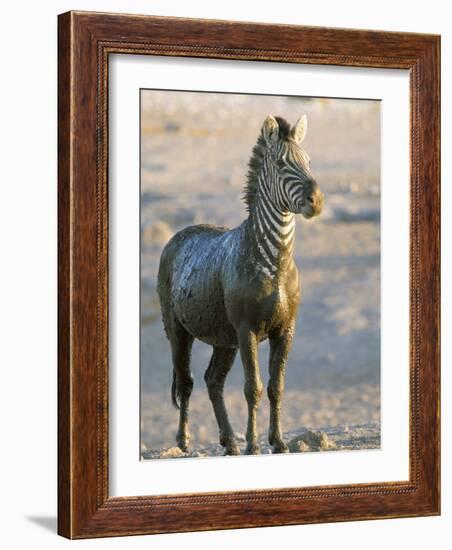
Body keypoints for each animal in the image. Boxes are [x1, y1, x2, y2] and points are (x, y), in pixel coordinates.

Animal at [157, 115, 324, 458]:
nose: (316, 202)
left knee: (213, 380)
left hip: (224, 338)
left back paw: (229, 442)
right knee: (186, 381)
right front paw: (254, 444)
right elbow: (253, 388)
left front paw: (279, 442)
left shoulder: (286, 329)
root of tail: (179, 235)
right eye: (281, 163)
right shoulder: (247, 329)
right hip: (177, 329)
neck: (276, 264)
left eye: (309, 161)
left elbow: (276, 386)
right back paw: (184, 442)